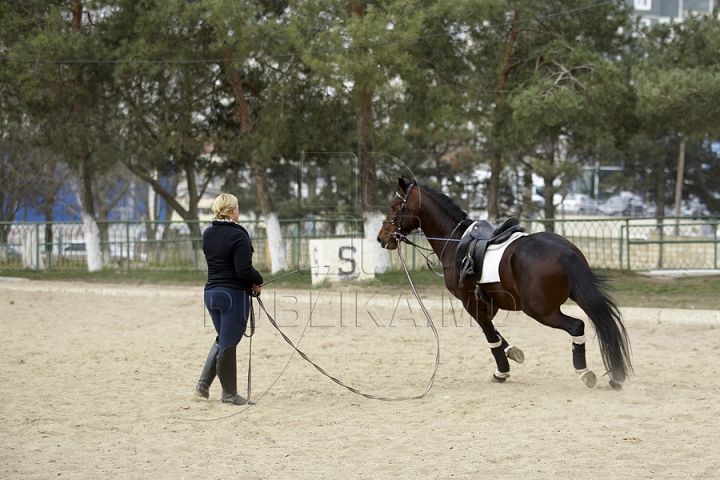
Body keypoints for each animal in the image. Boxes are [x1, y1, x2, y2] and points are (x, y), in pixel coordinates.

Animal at [376, 178, 632, 388]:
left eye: (394, 206)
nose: (381, 238)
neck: (454, 239)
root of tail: (564, 251)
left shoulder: (470, 302)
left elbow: (489, 333)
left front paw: (502, 371)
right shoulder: (491, 301)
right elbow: (494, 332)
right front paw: (512, 352)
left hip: (540, 311)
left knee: (577, 326)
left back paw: (584, 371)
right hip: (578, 296)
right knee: (604, 323)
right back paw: (615, 376)